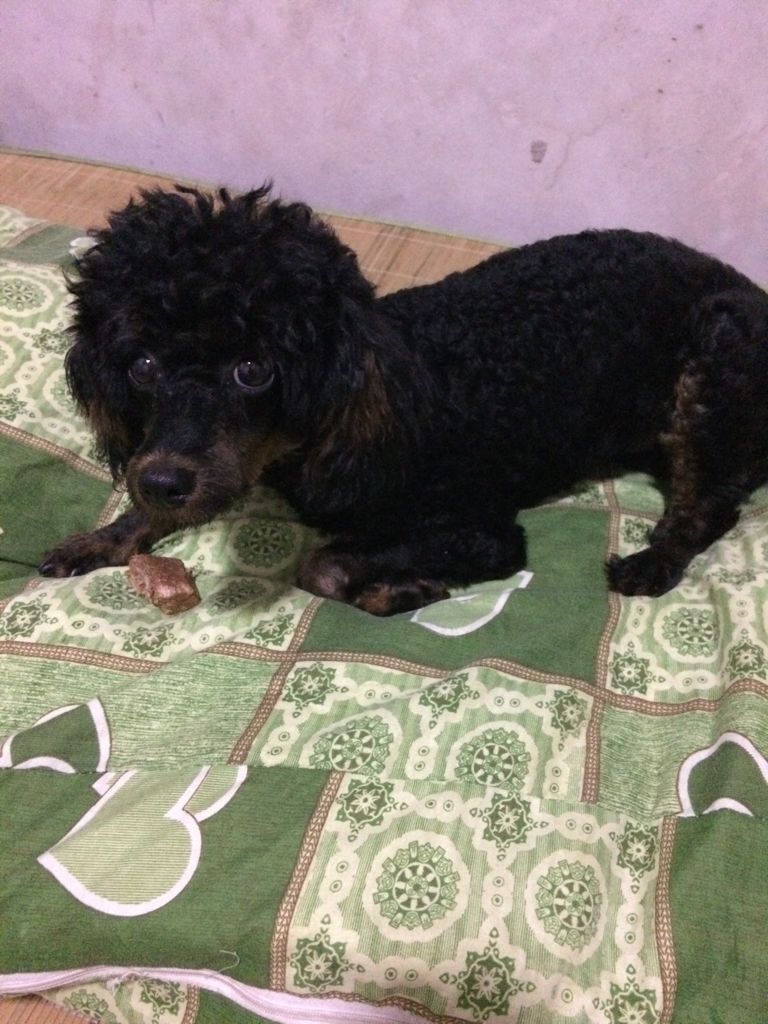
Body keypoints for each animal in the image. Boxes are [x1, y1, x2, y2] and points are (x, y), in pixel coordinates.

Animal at [39, 185, 768, 615]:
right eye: (142, 364)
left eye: (254, 370)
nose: (163, 481)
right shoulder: (218, 468)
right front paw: (102, 537)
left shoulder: (482, 532)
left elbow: (321, 565)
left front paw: (401, 589)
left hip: (714, 367)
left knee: (711, 507)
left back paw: (652, 561)